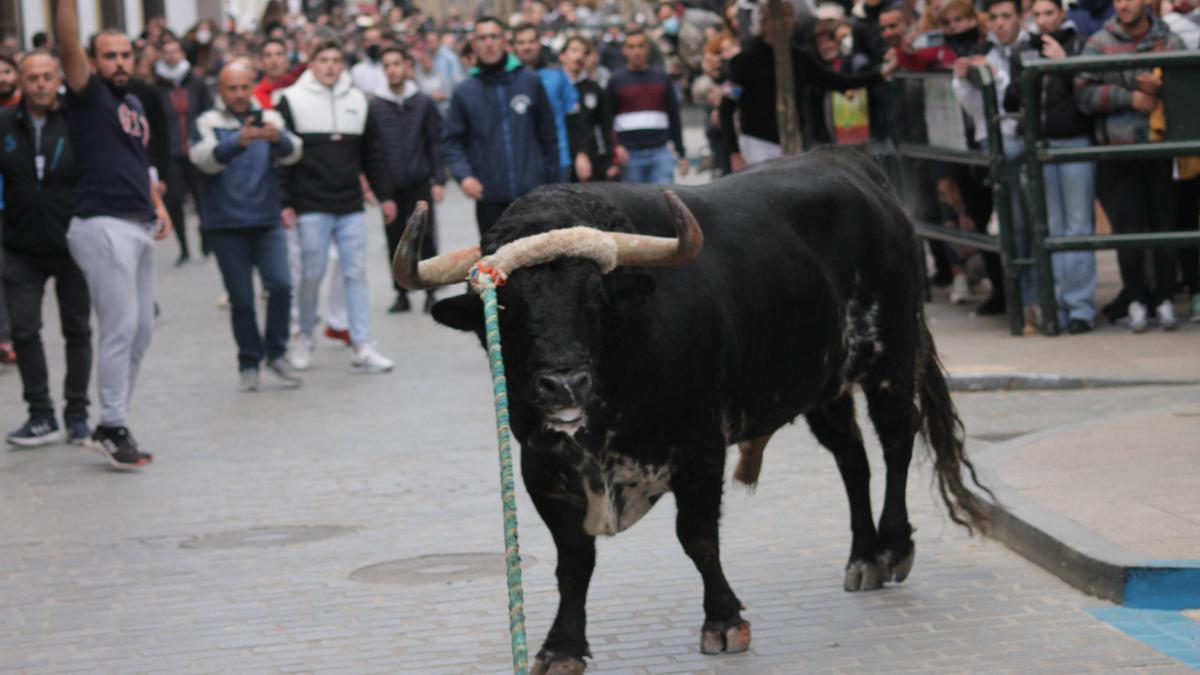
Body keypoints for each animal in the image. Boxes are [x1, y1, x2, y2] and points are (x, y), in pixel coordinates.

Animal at [408, 148, 988, 672]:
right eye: (507, 304)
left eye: (596, 295)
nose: (563, 386)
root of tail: (852, 163)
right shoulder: (540, 467)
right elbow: (573, 561)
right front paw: (561, 647)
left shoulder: (700, 449)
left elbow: (699, 539)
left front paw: (724, 621)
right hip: (824, 385)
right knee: (853, 459)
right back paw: (863, 557)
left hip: (890, 353)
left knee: (896, 440)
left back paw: (892, 548)